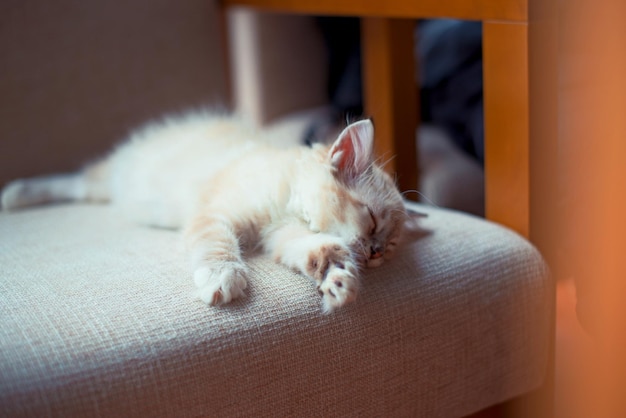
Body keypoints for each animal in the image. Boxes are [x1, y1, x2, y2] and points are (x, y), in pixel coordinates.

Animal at [2, 111, 420, 314]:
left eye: (389, 247)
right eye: (371, 221)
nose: (374, 253)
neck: (289, 199)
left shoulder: (284, 236)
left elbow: (320, 251)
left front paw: (339, 281)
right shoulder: (217, 214)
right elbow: (218, 246)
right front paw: (222, 280)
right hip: (110, 179)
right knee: (74, 181)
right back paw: (16, 194)